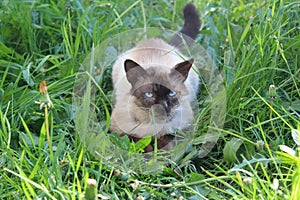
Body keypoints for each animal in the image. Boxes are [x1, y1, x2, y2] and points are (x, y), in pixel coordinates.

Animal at [109, 3, 200, 151]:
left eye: (172, 94)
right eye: (149, 95)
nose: (164, 107)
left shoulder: (181, 130)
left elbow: (166, 142)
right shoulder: (119, 131)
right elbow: (138, 140)